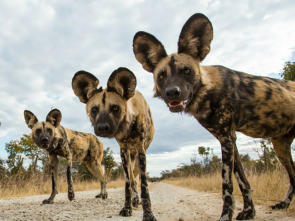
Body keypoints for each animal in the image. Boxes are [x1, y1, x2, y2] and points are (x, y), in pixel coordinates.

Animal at [72, 67, 157, 221]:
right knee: (133, 180)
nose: (102, 128)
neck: (128, 126)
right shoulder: (124, 152)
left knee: (136, 179)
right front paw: (127, 208)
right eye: (94, 109)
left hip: (137, 158)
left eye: (115, 108)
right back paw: (135, 200)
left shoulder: (141, 151)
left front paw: (148, 213)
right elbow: (128, 184)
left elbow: (144, 185)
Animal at [133, 13, 295, 221]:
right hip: (280, 146)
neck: (206, 91)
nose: (172, 92)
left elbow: (227, 186)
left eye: (187, 71)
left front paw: (226, 216)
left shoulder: (226, 139)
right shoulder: (230, 140)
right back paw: (284, 203)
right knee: (293, 176)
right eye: (161, 75)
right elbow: (243, 182)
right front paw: (249, 212)